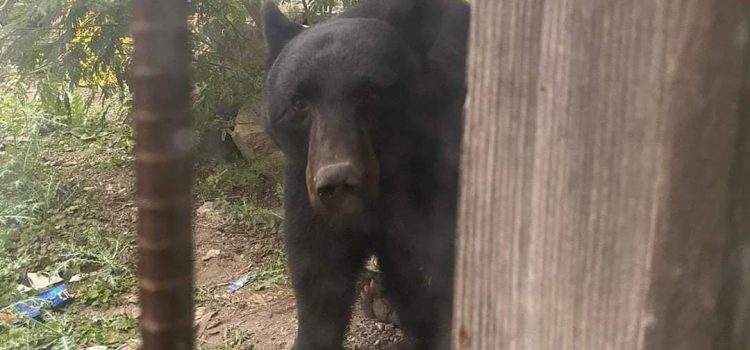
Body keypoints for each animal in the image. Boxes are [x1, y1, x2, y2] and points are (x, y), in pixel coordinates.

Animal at [262, 0, 468, 348]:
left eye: (371, 93)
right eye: (299, 102)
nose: (337, 182)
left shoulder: (435, 180)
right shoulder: (306, 193)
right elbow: (319, 293)